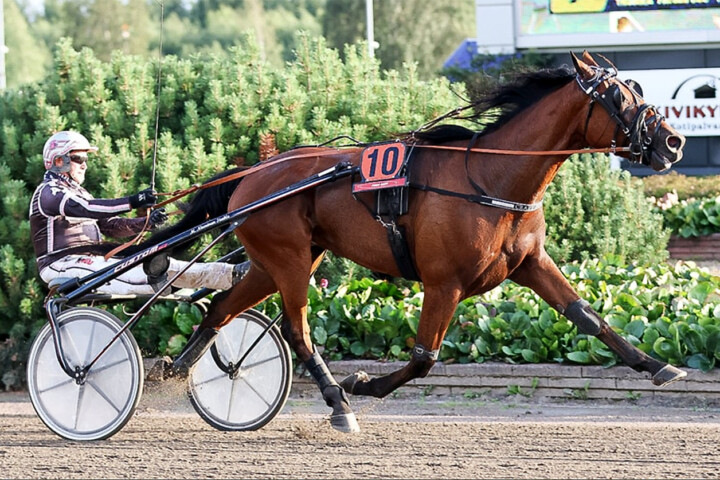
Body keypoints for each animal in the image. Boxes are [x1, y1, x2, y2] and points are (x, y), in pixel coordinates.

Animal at [142, 50, 688, 434]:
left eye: (636, 89)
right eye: (619, 98)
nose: (673, 142)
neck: (492, 178)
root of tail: (251, 175)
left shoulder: (530, 263)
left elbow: (588, 317)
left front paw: (658, 365)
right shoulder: (443, 282)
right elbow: (424, 357)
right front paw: (363, 383)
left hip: (275, 260)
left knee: (221, 310)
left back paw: (172, 372)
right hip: (290, 261)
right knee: (297, 332)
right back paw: (338, 401)